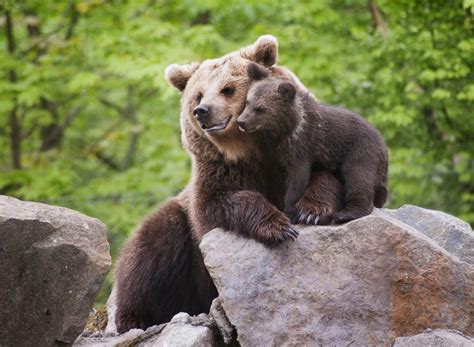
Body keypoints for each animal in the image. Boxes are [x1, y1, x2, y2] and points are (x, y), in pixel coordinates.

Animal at [115, 36, 344, 334]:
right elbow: (219, 204)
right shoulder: (218, 172)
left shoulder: (304, 147)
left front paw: (311, 210)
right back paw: (134, 319)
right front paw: (277, 226)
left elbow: (327, 177)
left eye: (228, 89)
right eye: (198, 94)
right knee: (150, 251)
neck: (249, 148)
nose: (202, 111)